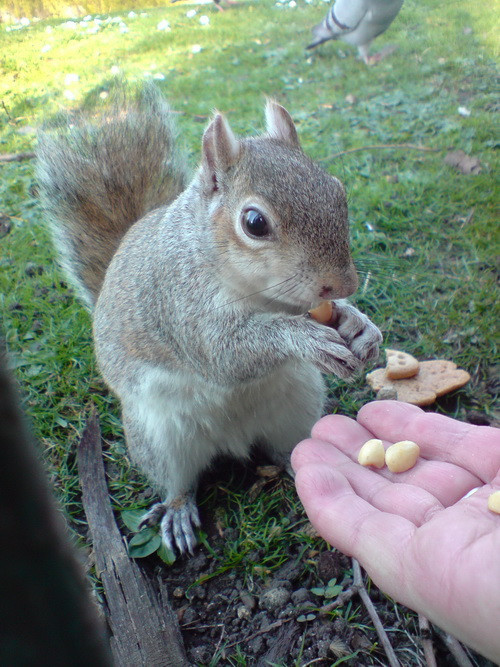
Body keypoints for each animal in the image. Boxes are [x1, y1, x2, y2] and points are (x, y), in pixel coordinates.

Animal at [36, 85, 382, 552]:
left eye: (338, 190)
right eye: (254, 223)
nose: (342, 283)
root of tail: (233, 439)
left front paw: (359, 325)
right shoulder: (178, 303)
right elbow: (224, 354)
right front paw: (303, 338)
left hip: (297, 404)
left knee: (292, 448)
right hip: (158, 436)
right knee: (177, 480)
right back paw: (179, 511)